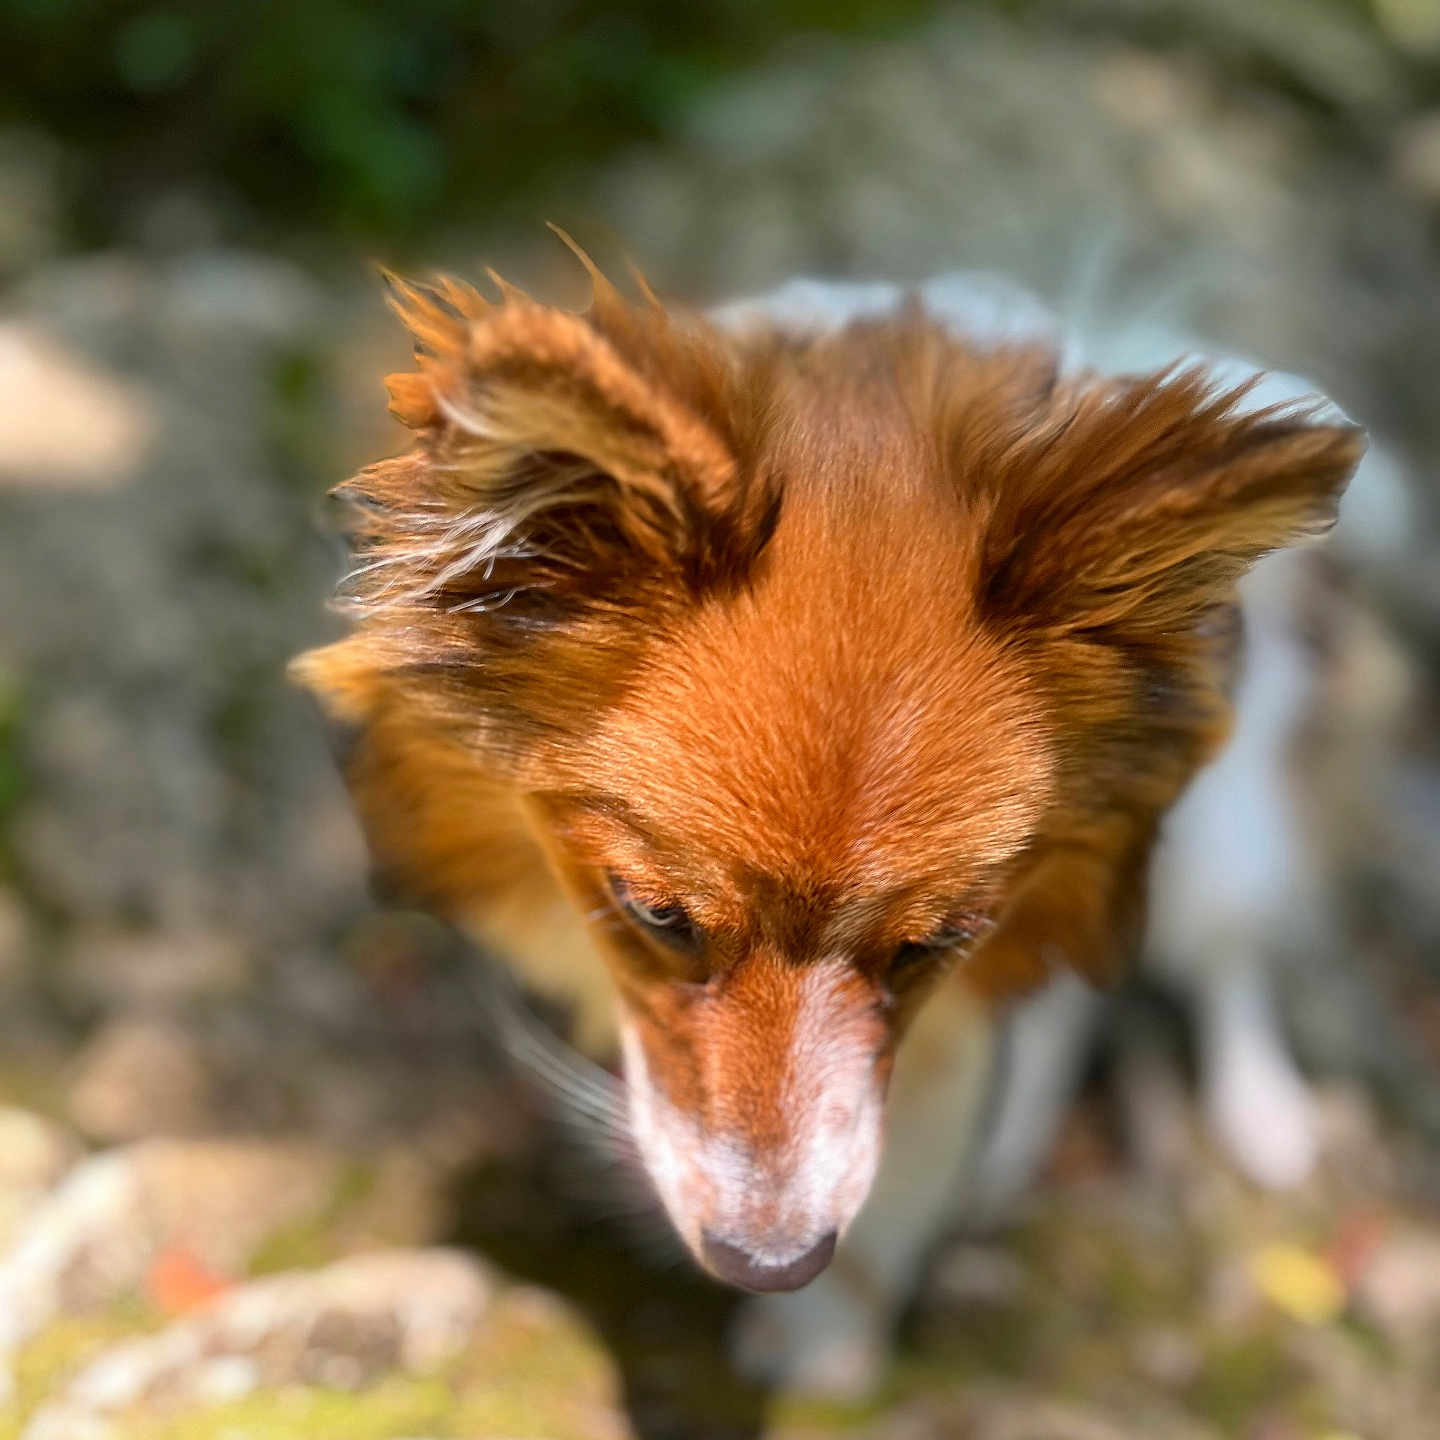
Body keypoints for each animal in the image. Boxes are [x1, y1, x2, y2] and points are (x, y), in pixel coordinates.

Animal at [293, 248, 1371, 1394]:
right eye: (658, 917)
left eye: (935, 943)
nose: (771, 1264)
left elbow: (904, 1164)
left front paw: (830, 1348)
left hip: (1223, 847)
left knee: (1226, 963)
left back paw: (1263, 1115)